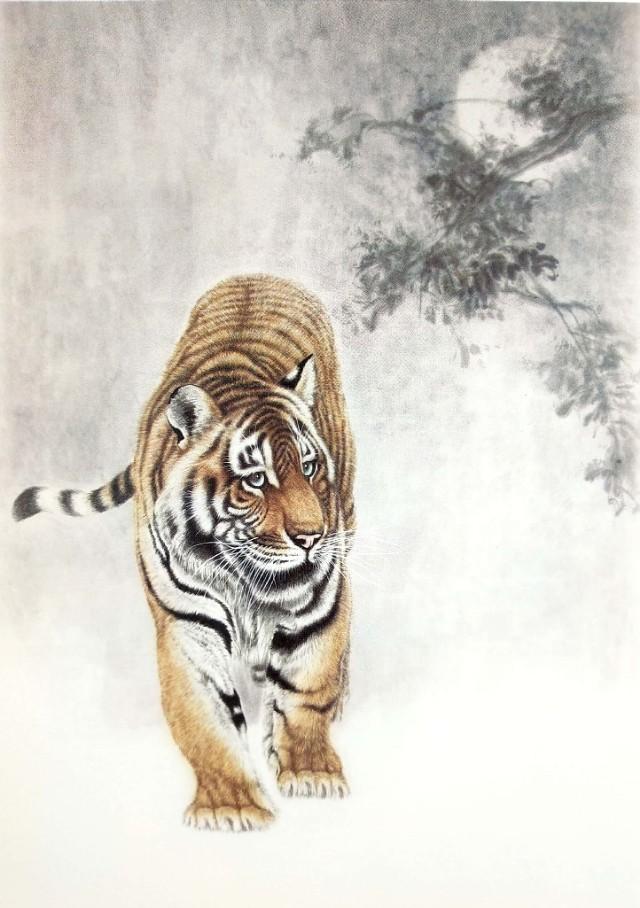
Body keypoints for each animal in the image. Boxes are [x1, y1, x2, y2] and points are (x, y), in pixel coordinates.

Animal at [12, 274, 356, 832]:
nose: (311, 537)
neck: (247, 580)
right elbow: (204, 722)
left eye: (308, 467)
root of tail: (258, 274)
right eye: (255, 480)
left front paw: (312, 775)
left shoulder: (318, 602)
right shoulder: (185, 628)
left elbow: (309, 688)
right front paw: (232, 807)